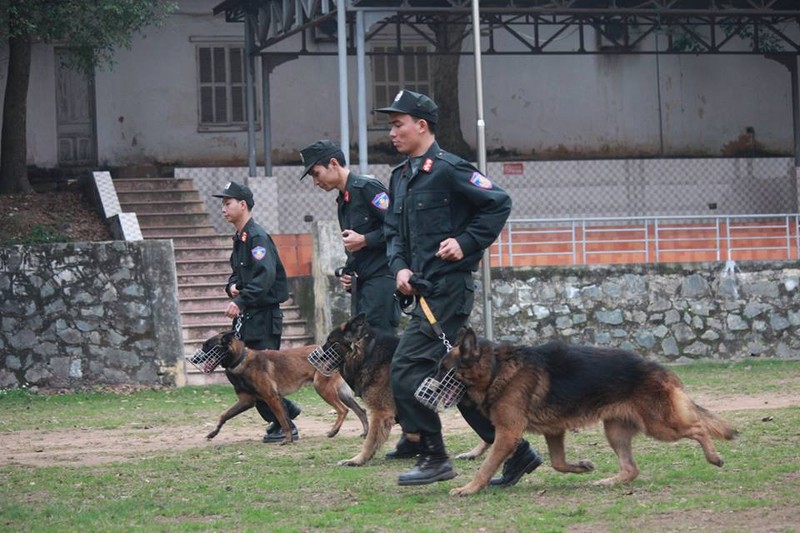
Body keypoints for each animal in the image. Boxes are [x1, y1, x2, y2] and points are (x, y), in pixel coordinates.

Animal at [195, 330, 370, 442]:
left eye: (206, 346)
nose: (194, 358)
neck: (240, 359)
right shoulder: (246, 401)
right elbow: (224, 415)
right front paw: (213, 433)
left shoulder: (271, 398)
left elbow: (282, 420)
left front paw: (287, 439)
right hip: (342, 393)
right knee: (361, 410)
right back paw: (365, 432)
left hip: (322, 388)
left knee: (343, 410)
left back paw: (334, 431)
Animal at [444, 326, 736, 496]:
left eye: (441, 368)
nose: (430, 386)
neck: (496, 369)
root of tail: (659, 369)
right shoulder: (554, 430)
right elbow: (558, 463)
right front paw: (582, 467)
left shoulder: (507, 433)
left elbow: (487, 466)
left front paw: (469, 488)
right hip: (616, 431)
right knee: (631, 469)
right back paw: (608, 482)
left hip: (660, 425)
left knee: (698, 427)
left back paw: (714, 457)